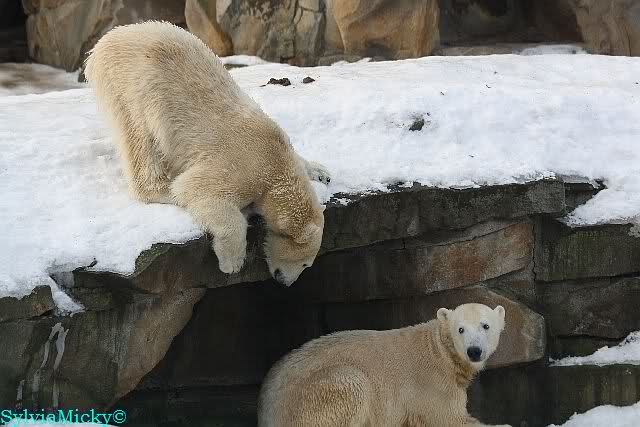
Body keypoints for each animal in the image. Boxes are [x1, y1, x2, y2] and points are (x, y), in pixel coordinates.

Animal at [84, 21, 329, 285]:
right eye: (305, 263)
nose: (286, 282)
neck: (276, 165)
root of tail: (104, 42)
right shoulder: (244, 166)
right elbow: (199, 190)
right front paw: (232, 263)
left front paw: (321, 172)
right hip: (132, 86)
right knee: (141, 140)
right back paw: (164, 189)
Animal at [258, 303, 511, 427]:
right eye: (460, 329)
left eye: (485, 325)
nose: (474, 350)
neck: (440, 350)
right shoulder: (434, 384)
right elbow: (450, 419)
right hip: (314, 396)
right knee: (354, 382)